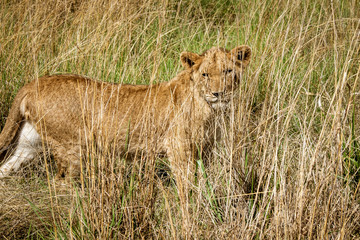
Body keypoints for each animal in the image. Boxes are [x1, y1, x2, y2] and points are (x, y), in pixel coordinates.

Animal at [0, 45, 252, 180]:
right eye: (205, 74)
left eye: (228, 71)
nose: (218, 93)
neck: (210, 110)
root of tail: (31, 84)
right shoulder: (178, 148)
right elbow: (186, 186)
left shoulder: (204, 152)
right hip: (72, 147)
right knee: (63, 183)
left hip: (29, 145)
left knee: (5, 168)